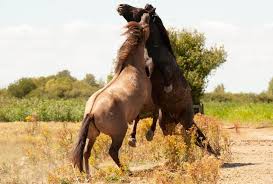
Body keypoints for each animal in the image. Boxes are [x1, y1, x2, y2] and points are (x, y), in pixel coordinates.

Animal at [116, 3, 217, 155]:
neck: (153, 51)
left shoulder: (166, 70)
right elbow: (139, 114)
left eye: (139, 9)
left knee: (190, 135)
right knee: (174, 134)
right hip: (166, 121)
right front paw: (132, 138)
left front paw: (168, 88)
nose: (121, 6)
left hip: (186, 120)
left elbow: (166, 78)